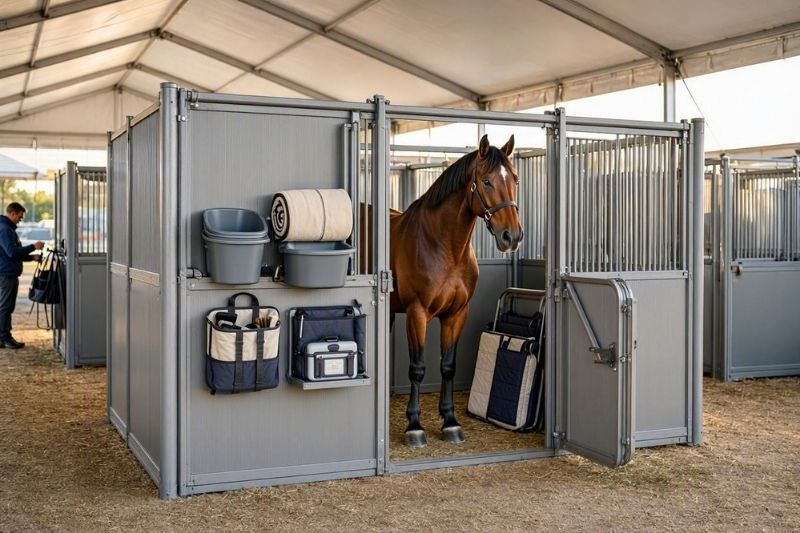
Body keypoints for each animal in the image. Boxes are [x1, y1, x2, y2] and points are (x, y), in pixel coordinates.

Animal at [390, 134, 523, 447]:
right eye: (486, 181)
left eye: (514, 178)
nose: (512, 236)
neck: (443, 246)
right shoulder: (416, 314)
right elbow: (418, 367)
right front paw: (414, 426)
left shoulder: (457, 313)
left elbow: (448, 365)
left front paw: (450, 422)